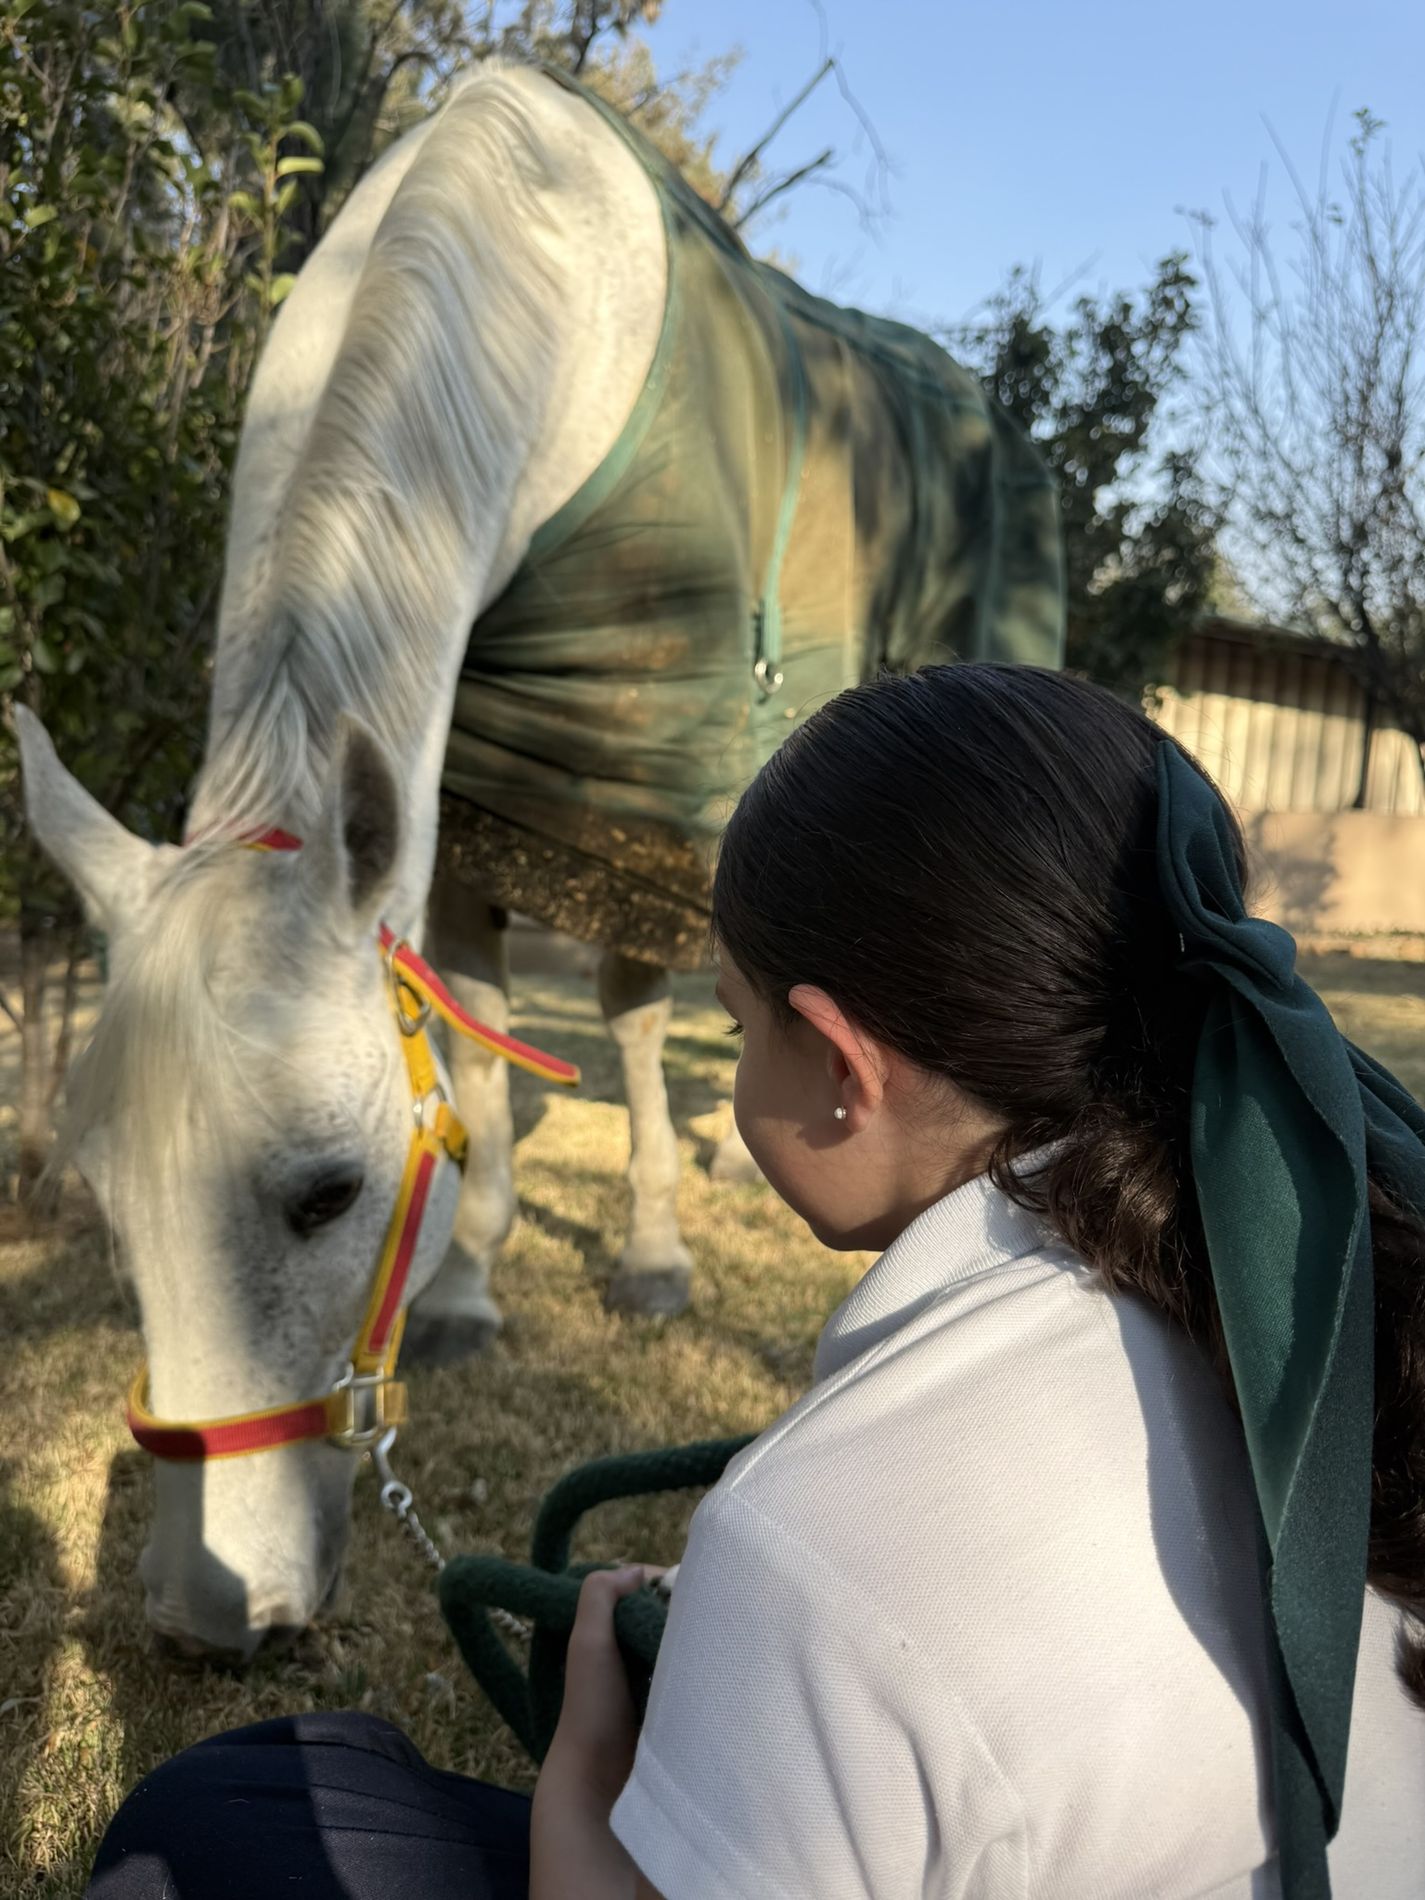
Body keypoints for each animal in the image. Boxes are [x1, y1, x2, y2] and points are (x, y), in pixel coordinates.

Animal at [18, 59, 1063, 1659]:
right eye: (104, 1195)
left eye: (326, 1194)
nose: (211, 1616)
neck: (543, 303)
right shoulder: (475, 805)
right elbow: (479, 1036)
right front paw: (468, 1292)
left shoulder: (641, 799)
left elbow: (630, 1019)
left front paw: (653, 1259)